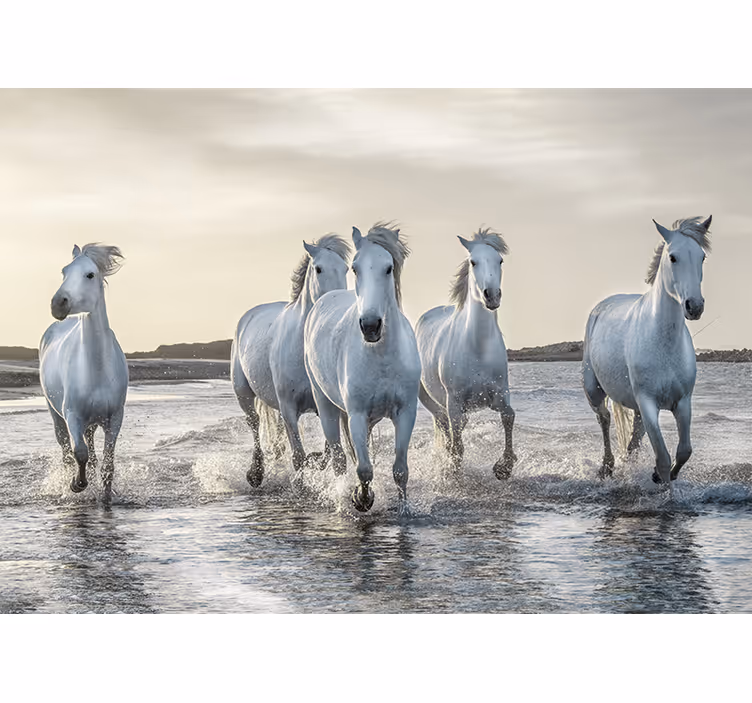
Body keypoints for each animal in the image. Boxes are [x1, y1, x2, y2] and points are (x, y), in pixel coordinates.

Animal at [39, 244, 129, 504]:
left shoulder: (114, 418)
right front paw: (77, 484)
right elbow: (80, 452)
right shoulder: (72, 416)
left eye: (89, 275)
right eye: (64, 272)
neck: (96, 370)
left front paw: (107, 496)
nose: (58, 304)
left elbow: (107, 463)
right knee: (66, 450)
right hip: (56, 414)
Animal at [231, 234, 351, 486]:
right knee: (254, 424)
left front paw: (315, 461)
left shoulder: (325, 405)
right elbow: (298, 456)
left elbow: (327, 451)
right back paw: (255, 473)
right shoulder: (289, 408)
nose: (338, 302)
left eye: (346, 269)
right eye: (318, 268)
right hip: (243, 394)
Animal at [304, 222, 421, 516]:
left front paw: (404, 510)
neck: (381, 356)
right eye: (355, 268)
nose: (370, 326)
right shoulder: (356, 414)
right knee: (339, 459)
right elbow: (364, 469)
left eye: (388, 268)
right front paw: (362, 499)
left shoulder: (405, 413)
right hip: (326, 406)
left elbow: (400, 470)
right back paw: (342, 498)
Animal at [415, 228, 517, 481]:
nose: (492, 295)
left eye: (500, 260)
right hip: (432, 402)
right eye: (473, 262)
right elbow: (457, 445)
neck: (478, 349)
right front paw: (453, 471)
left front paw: (504, 467)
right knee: (445, 427)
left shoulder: (500, 395)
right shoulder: (454, 402)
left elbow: (509, 417)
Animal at [582, 215, 712, 485]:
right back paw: (607, 467)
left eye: (702, 257)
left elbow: (683, 451)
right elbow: (662, 457)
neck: (663, 343)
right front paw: (662, 482)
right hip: (594, 391)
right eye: (673, 257)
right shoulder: (648, 403)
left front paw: (661, 475)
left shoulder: (683, 402)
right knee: (604, 420)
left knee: (633, 439)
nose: (694, 306)